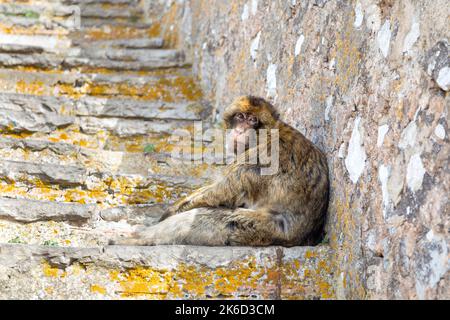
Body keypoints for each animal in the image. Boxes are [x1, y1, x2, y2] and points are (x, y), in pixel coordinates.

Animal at [111, 96, 330, 246]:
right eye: (240, 117)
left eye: (252, 120)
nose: (240, 130)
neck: (268, 134)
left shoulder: (260, 156)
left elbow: (221, 193)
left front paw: (169, 212)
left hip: (263, 230)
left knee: (204, 218)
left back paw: (137, 238)